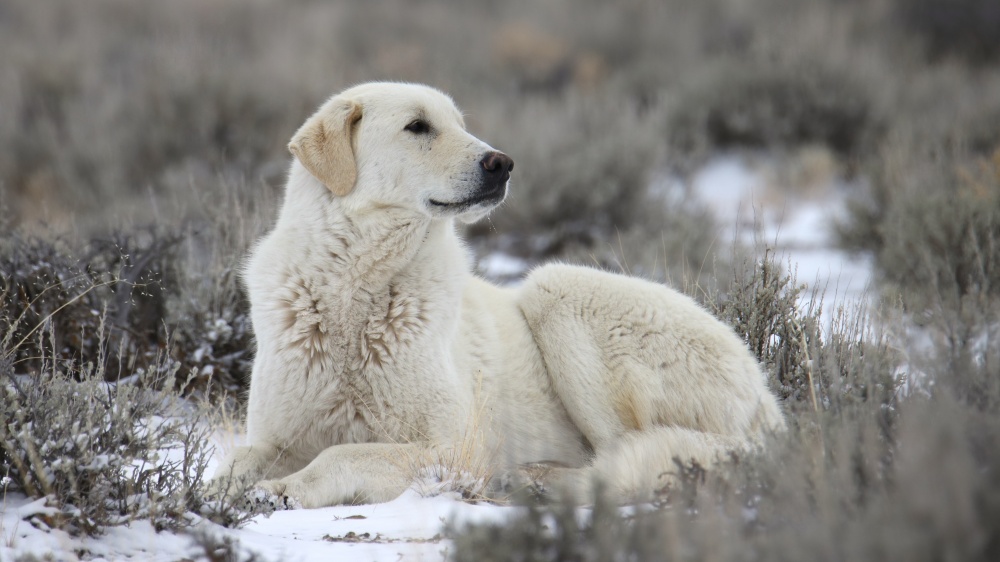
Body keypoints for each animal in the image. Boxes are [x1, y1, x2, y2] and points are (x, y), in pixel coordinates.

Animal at [211, 81, 784, 506]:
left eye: (460, 124)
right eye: (417, 126)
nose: (502, 163)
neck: (359, 289)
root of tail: (768, 403)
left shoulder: (449, 448)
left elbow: (341, 456)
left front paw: (283, 490)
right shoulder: (279, 434)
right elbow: (239, 459)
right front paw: (223, 489)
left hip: (557, 290)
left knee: (626, 458)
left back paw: (539, 481)